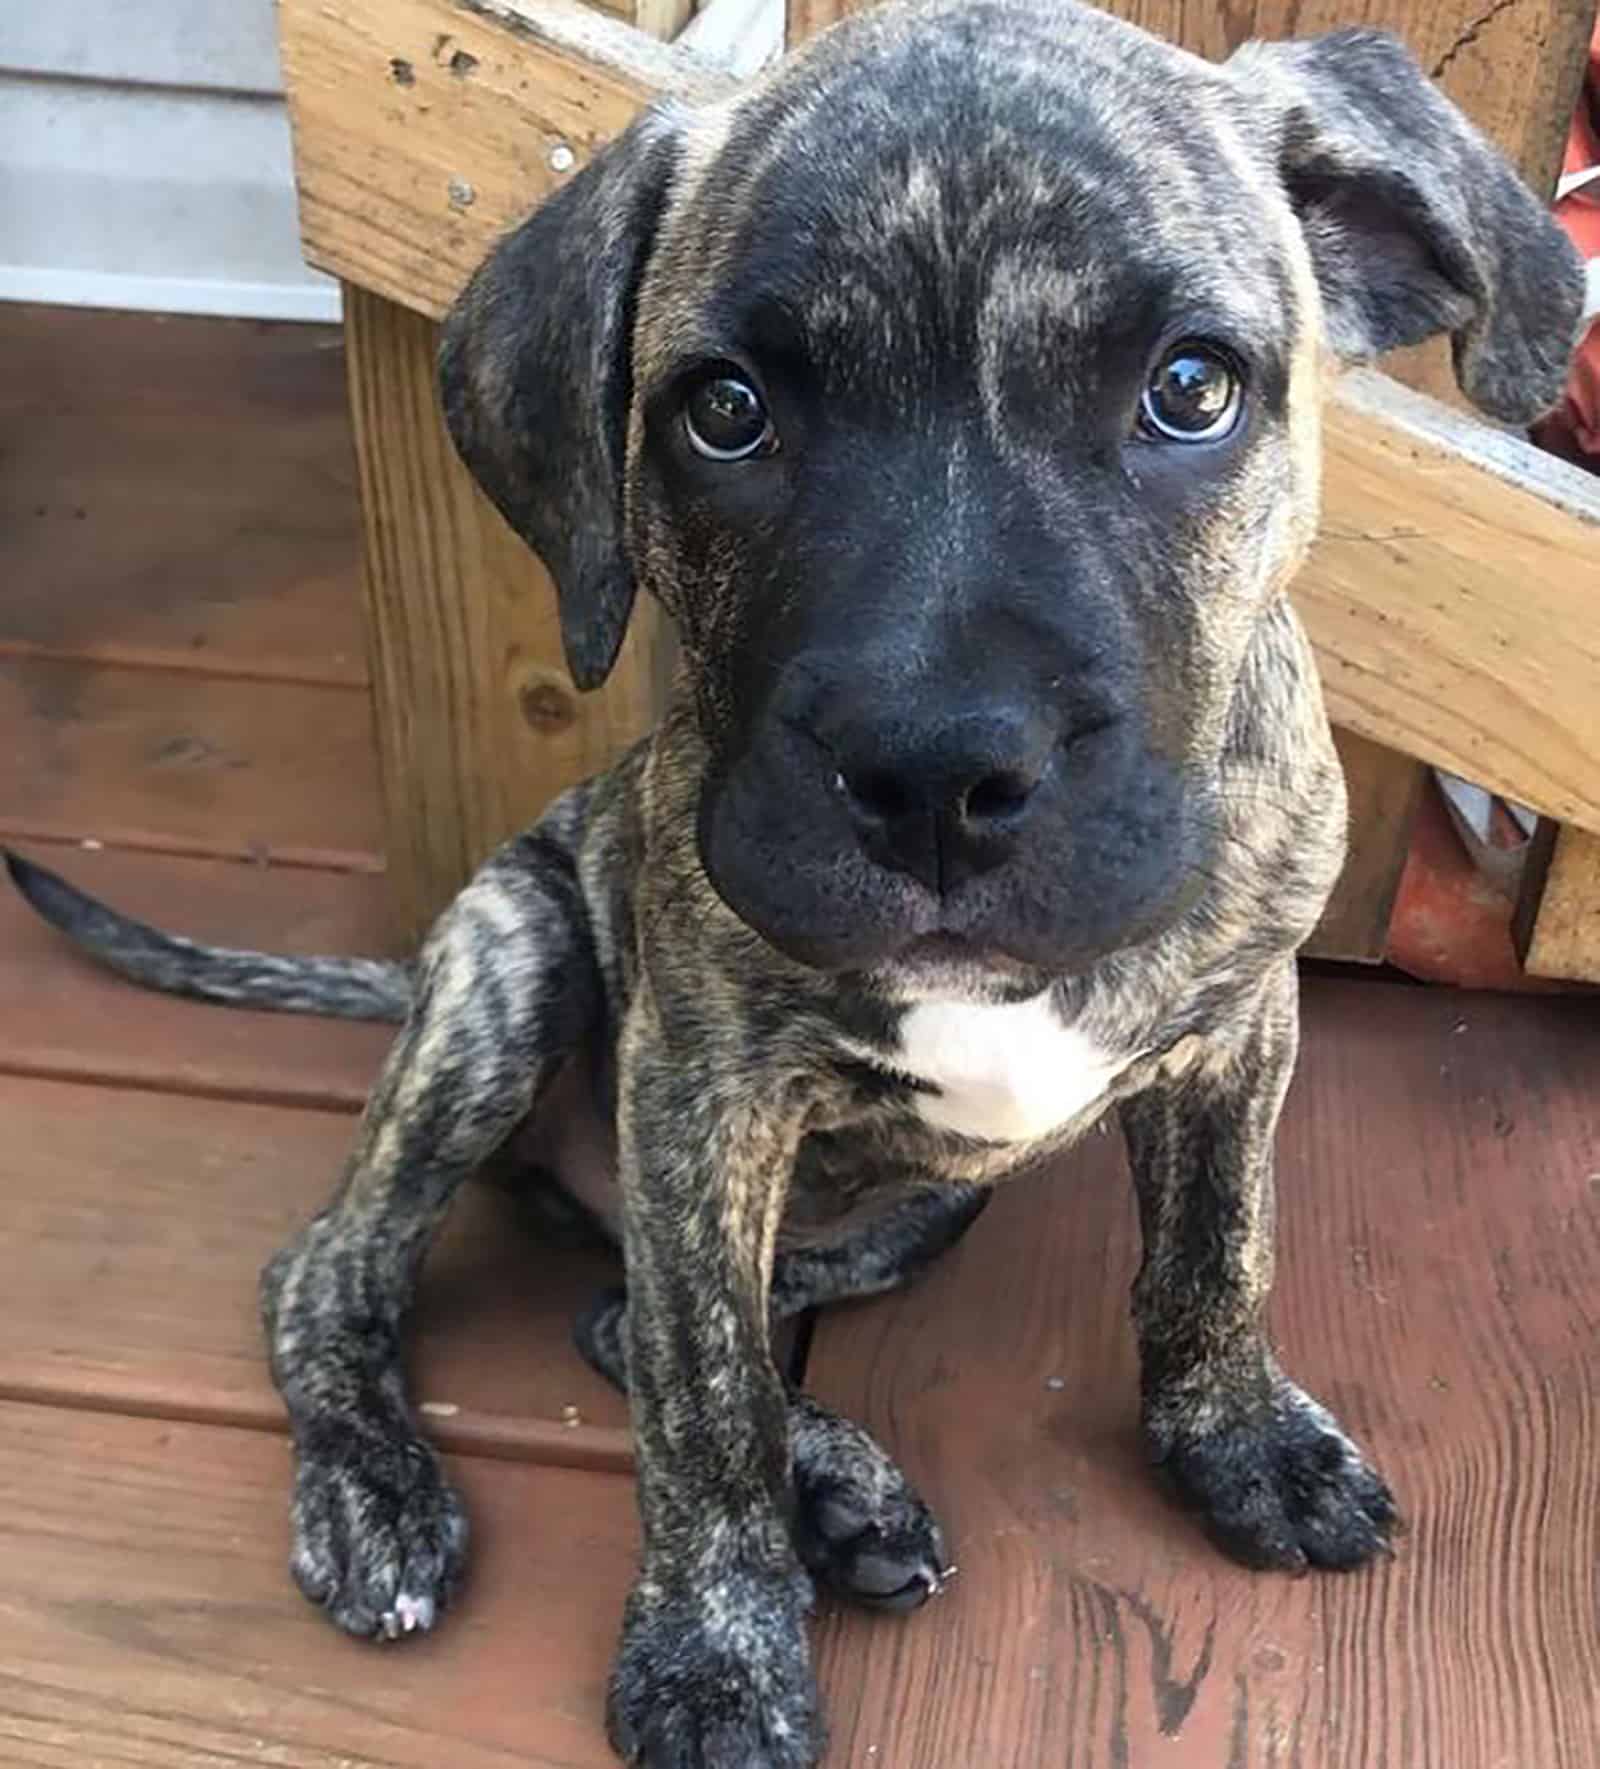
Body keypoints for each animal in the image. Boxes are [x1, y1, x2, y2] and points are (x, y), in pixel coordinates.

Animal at [6, 6, 1578, 1761]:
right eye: (726, 410)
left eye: (1192, 391)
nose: (935, 776)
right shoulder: (704, 1094)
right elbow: (702, 1415)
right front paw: (713, 1650)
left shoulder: (1242, 1030)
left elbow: (1217, 1249)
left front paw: (1237, 1433)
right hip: (514, 969)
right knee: (368, 1273)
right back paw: (383, 1491)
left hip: (912, 1207)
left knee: (632, 1315)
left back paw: (838, 1486)